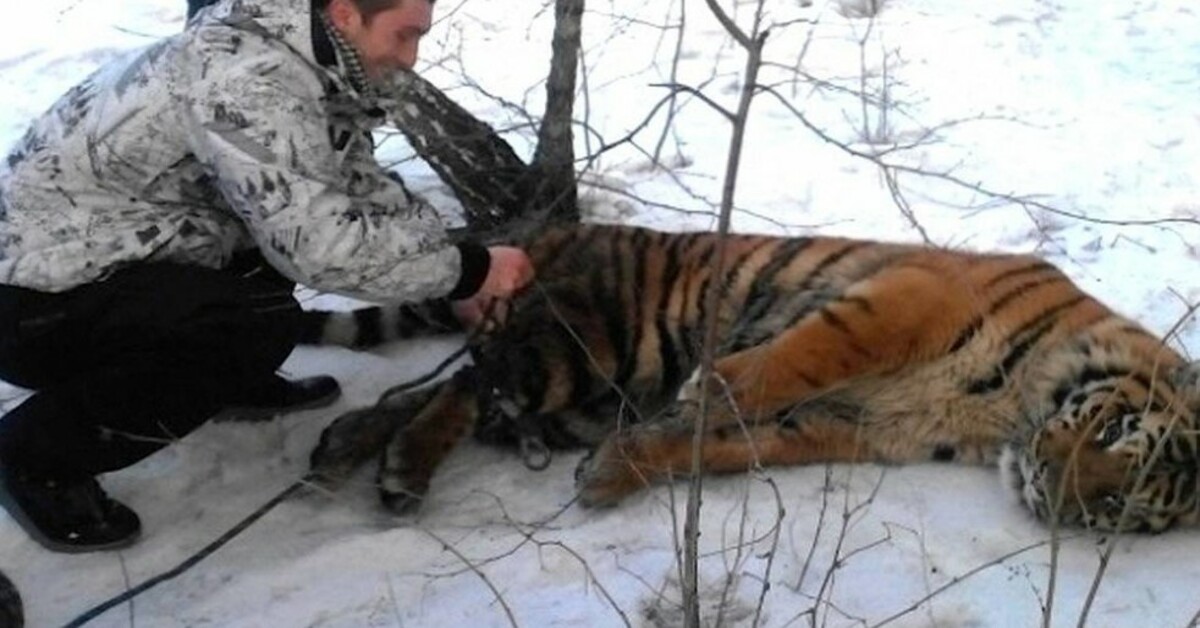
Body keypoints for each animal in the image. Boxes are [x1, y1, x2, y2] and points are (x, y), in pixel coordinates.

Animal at [309, 223, 1200, 533]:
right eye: (1117, 428)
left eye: (1121, 508)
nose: (1050, 488)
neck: (1007, 416)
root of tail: (553, 229)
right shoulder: (912, 294)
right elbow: (799, 357)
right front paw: (713, 386)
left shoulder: (851, 425)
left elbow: (719, 447)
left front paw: (615, 473)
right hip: (581, 346)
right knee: (468, 383)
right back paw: (395, 465)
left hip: (590, 394)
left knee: (445, 390)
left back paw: (349, 449)